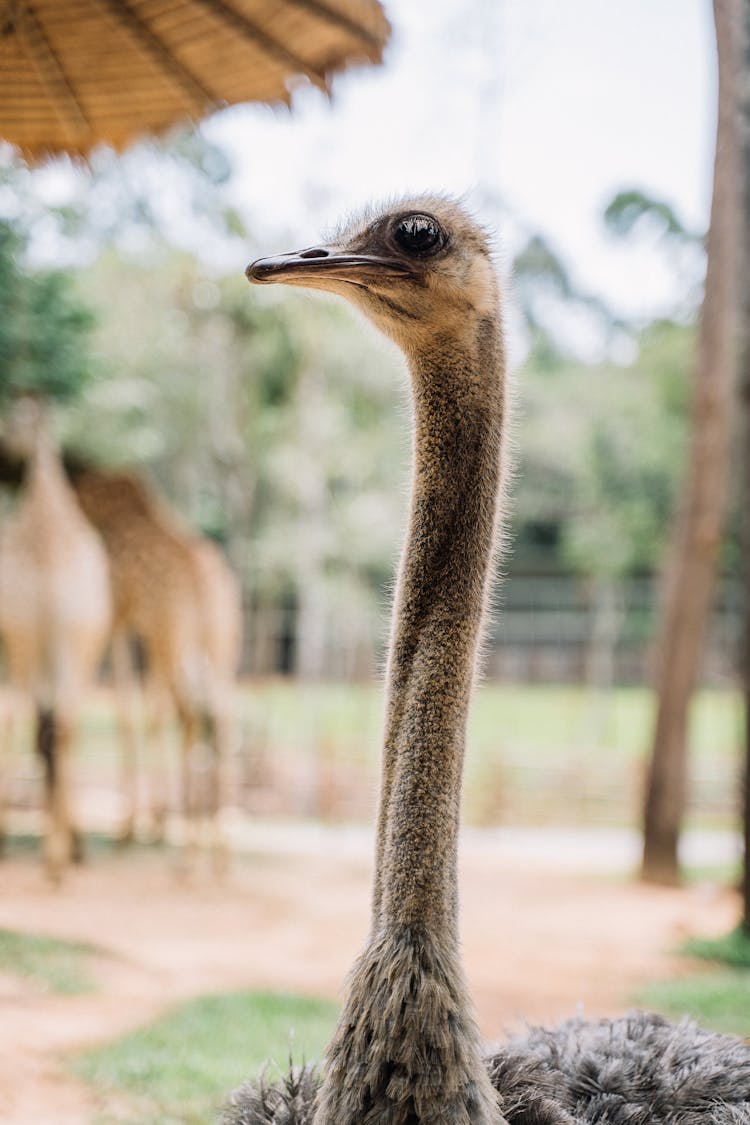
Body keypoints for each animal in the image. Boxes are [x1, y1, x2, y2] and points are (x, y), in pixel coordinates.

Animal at [73, 470, 240, 864]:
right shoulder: (133, 627)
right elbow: (144, 711)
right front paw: (150, 824)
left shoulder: (117, 620)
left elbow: (129, 712)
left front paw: (133, 828)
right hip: (217, 644)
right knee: (217, 716)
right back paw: (217, 851)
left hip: (172, 638)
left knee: (188, 713)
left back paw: (189, 852)